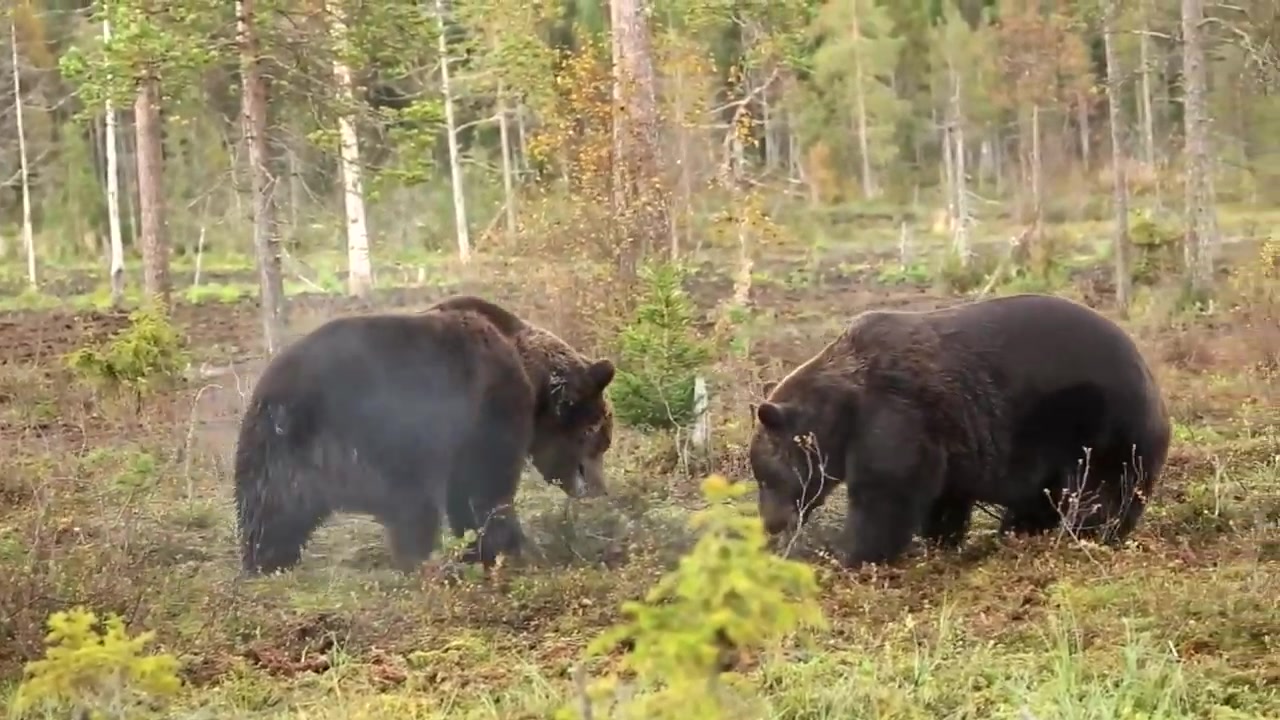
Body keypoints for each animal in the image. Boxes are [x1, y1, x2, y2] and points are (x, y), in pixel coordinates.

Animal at [235, 292, 614, 571]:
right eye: (598, 438)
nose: (599, 489)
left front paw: (476, 550)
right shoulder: (490, 408)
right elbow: (488, 486)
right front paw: (511, 548)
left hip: (272, 447)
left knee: (270, 512)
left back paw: (267, 564)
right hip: (392, 436)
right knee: (413, 506)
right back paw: (423, 561)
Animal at [747, 292, 1172, 566]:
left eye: (764, 476)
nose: (770, 523)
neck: (842, 411)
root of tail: (1149, 371)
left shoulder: (892, 416)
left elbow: (885, 494)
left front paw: (848, 553)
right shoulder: (946, 436)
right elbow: (943, 496)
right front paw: (939, 540)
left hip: (1098, 419)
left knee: (1102, 489)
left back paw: (1083, 533)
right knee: (1044, 495)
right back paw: (1021, 531)